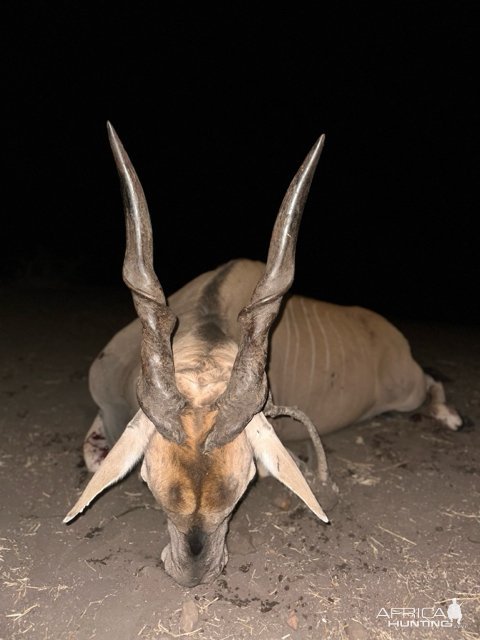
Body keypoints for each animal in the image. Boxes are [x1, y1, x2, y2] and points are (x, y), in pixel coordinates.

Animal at [63, 122, 462, 588]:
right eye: (147, 480)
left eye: (243, 485)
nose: (194, 574)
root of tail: (392, 335)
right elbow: (93, 455)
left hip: (408, 389)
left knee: (430, 382)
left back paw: (449, 416)